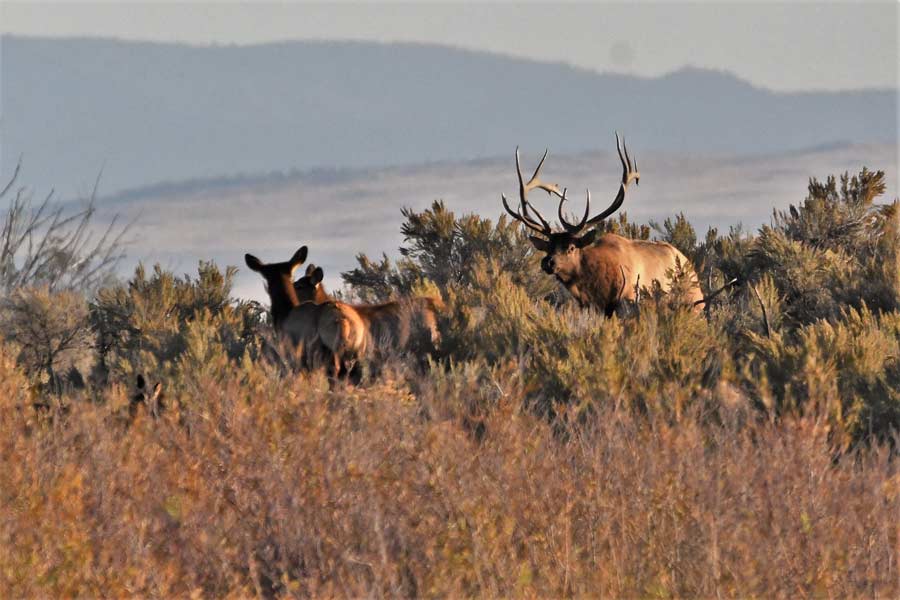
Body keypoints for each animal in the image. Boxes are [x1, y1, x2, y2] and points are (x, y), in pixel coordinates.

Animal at [501, 134, 704, 316]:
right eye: (548, 247)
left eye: (571, 247)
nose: (548, 262)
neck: (597, 286)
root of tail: (692, 268)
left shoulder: (627, 299)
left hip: (693, 305)